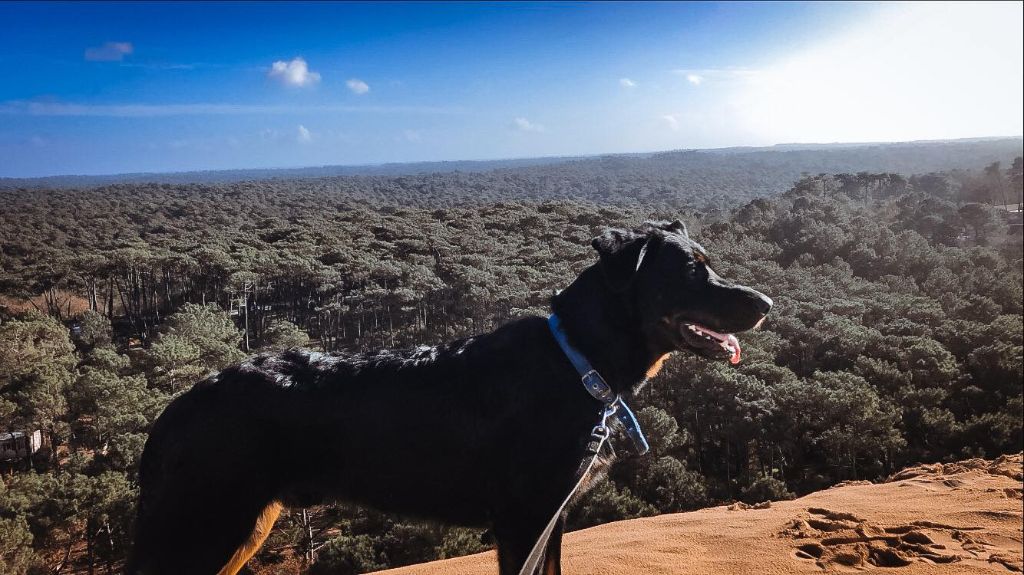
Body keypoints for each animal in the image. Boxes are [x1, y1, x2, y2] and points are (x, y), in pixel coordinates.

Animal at [128, 218, 770, 572]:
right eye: (691, 272)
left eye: (709, 265)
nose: (766, 303)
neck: (577, 360)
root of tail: (176, 410)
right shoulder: (522, 520)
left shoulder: (551, 520)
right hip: (205, 530)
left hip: (239, 528)